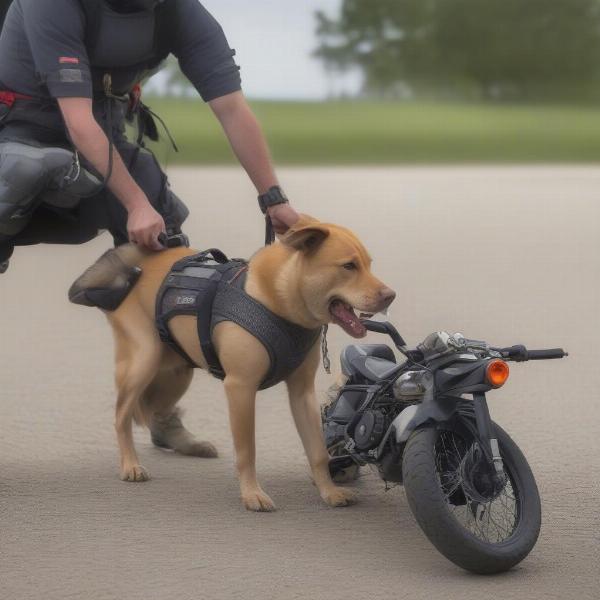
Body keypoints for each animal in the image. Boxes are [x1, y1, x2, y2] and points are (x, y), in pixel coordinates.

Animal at [74, 217, 394, 510]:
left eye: (369, 264)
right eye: (349, 266)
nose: (390, 296)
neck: (279, 302)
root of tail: (139, 263)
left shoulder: (302, 393)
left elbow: (317, 451)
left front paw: (328, 491)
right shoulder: (240, 388)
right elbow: (247, 451)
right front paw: (252, 493)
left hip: (176, 372)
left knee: (154, 409)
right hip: (143, 362)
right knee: (121, 415)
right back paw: (130, 464)